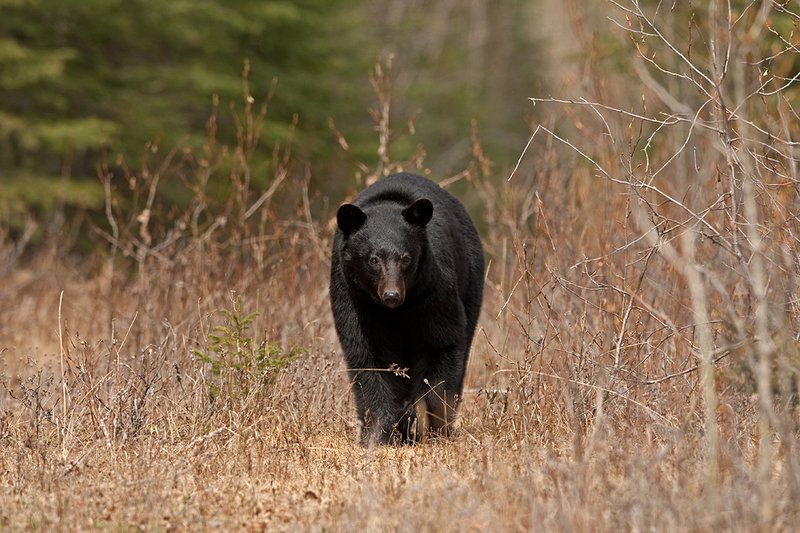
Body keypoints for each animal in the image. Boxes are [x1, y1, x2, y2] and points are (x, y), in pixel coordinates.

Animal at [329, 172, 484, 445]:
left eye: (406, 258)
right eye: (373, 259)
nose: (392, 295)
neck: (394, 312)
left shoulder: (434, 287)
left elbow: (441, 344)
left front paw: (418, 422)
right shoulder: (353, 297)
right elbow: (368, 355)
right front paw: (379, 431)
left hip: (470, 282)